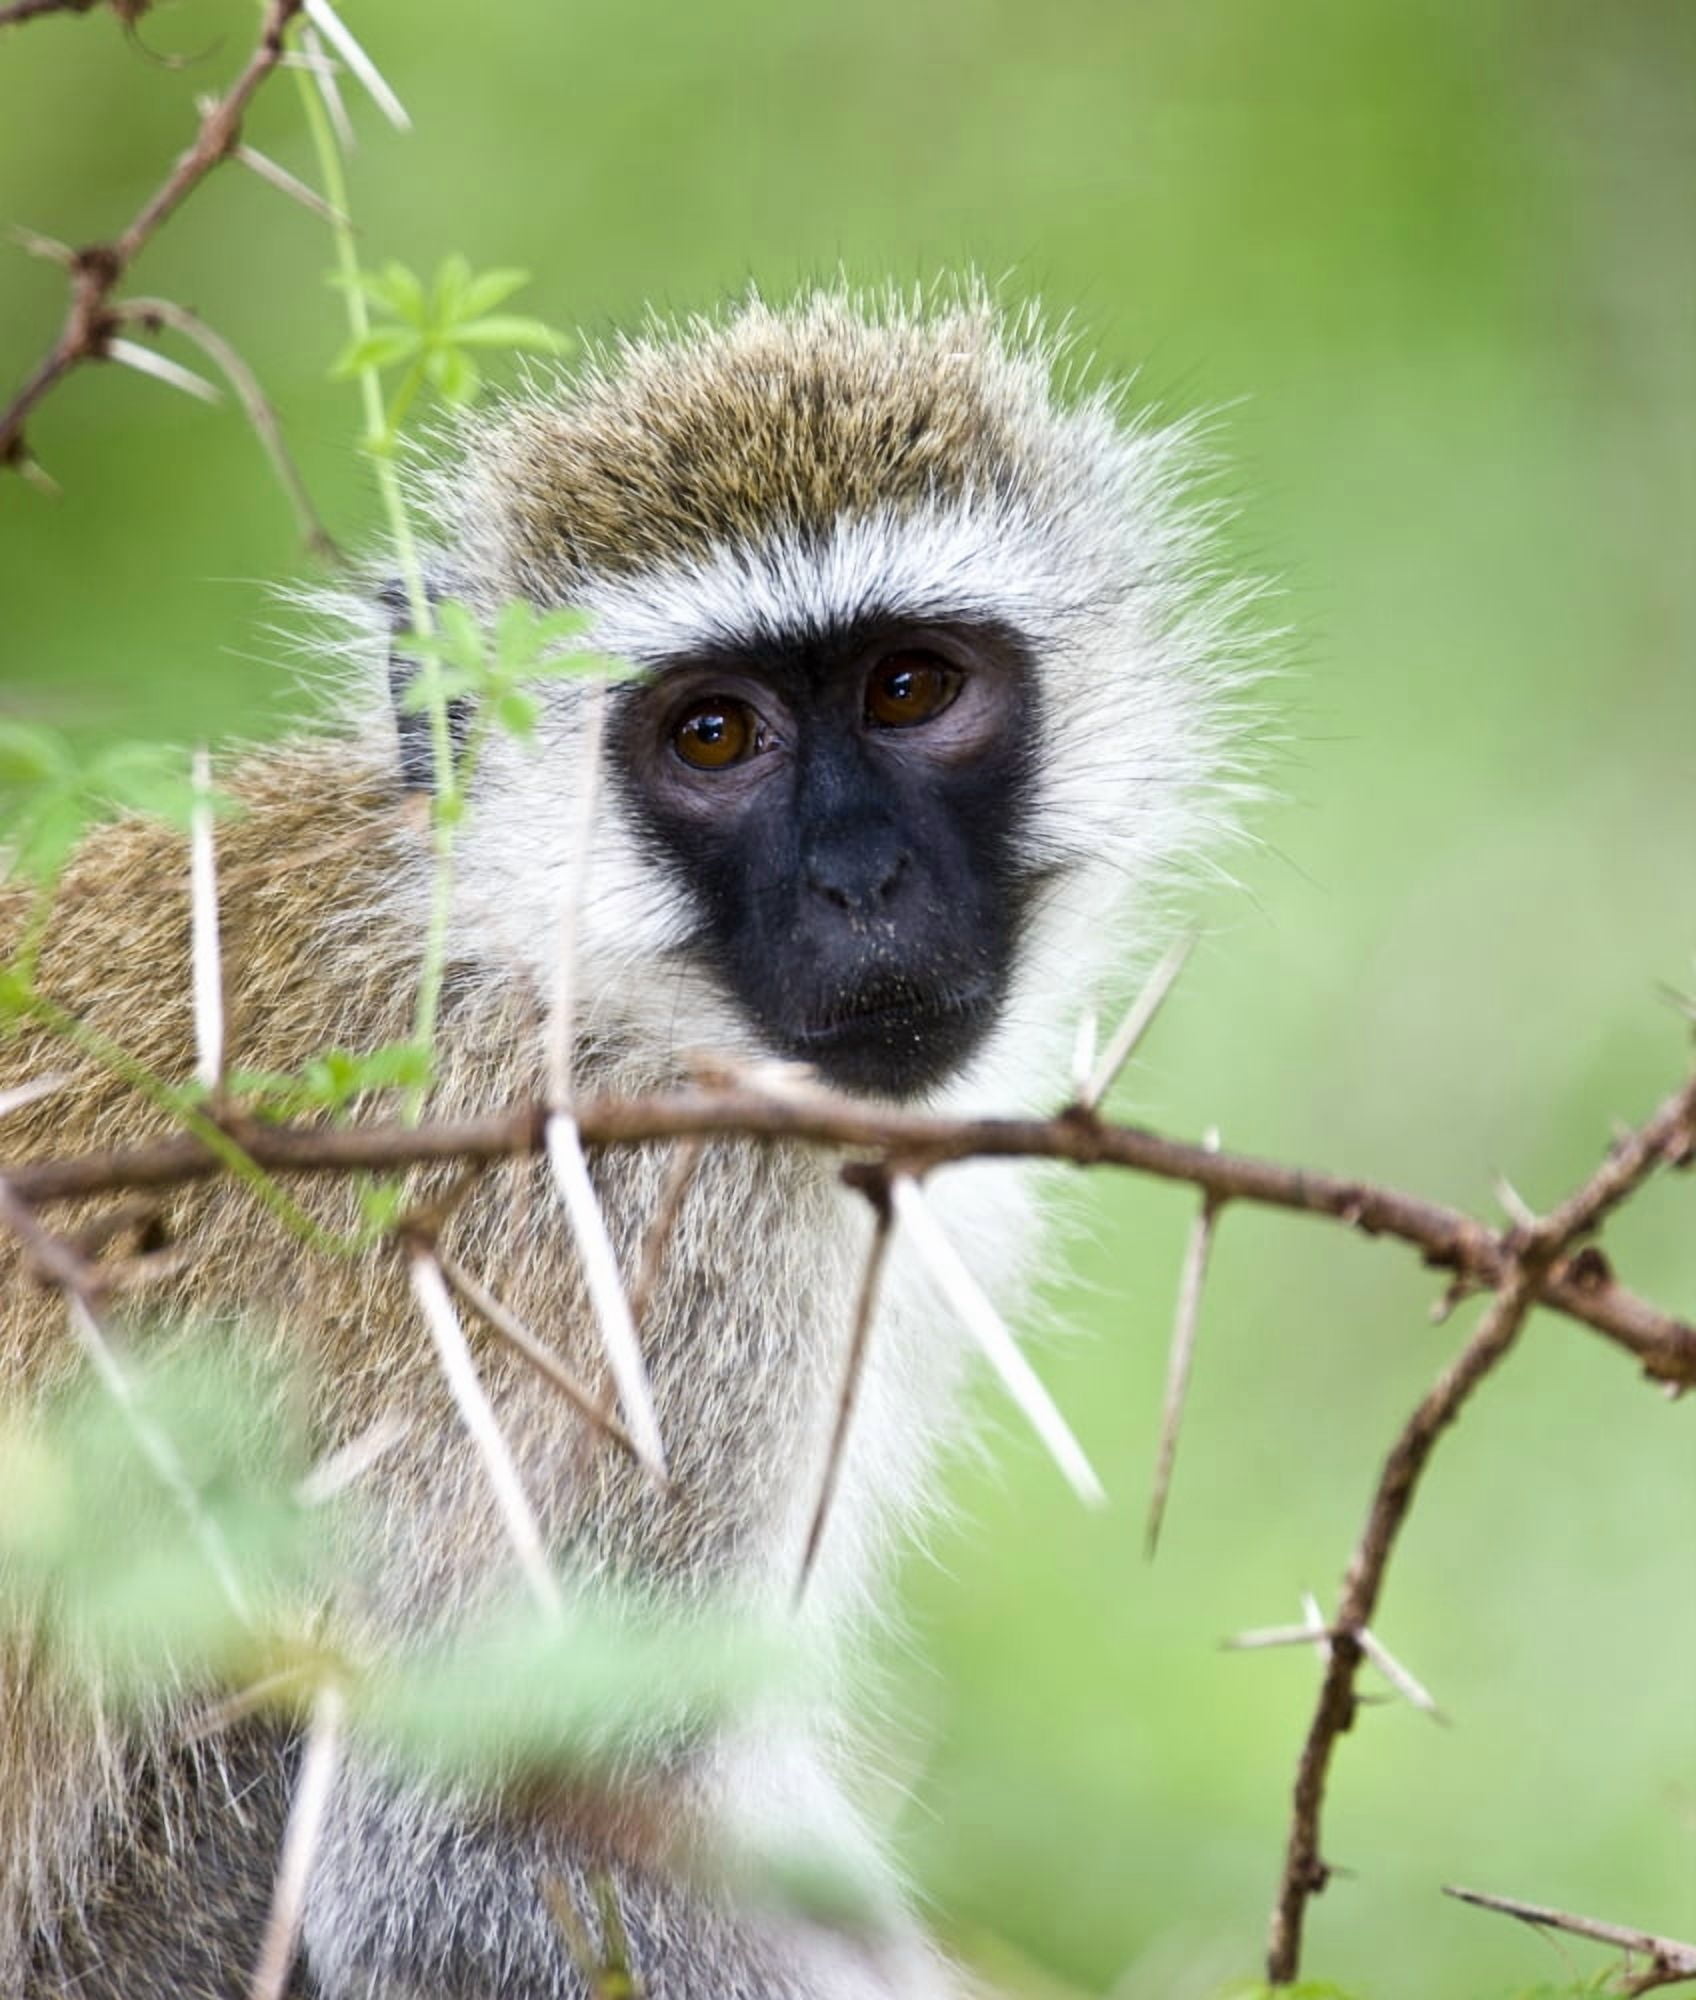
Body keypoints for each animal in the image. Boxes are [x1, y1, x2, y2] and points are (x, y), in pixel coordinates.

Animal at [0, 289, 1248, 1999]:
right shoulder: (645, 1262)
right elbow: (463, 1855)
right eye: (712, 734)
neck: (560, 967)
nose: (860, 882)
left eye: (910, 690)